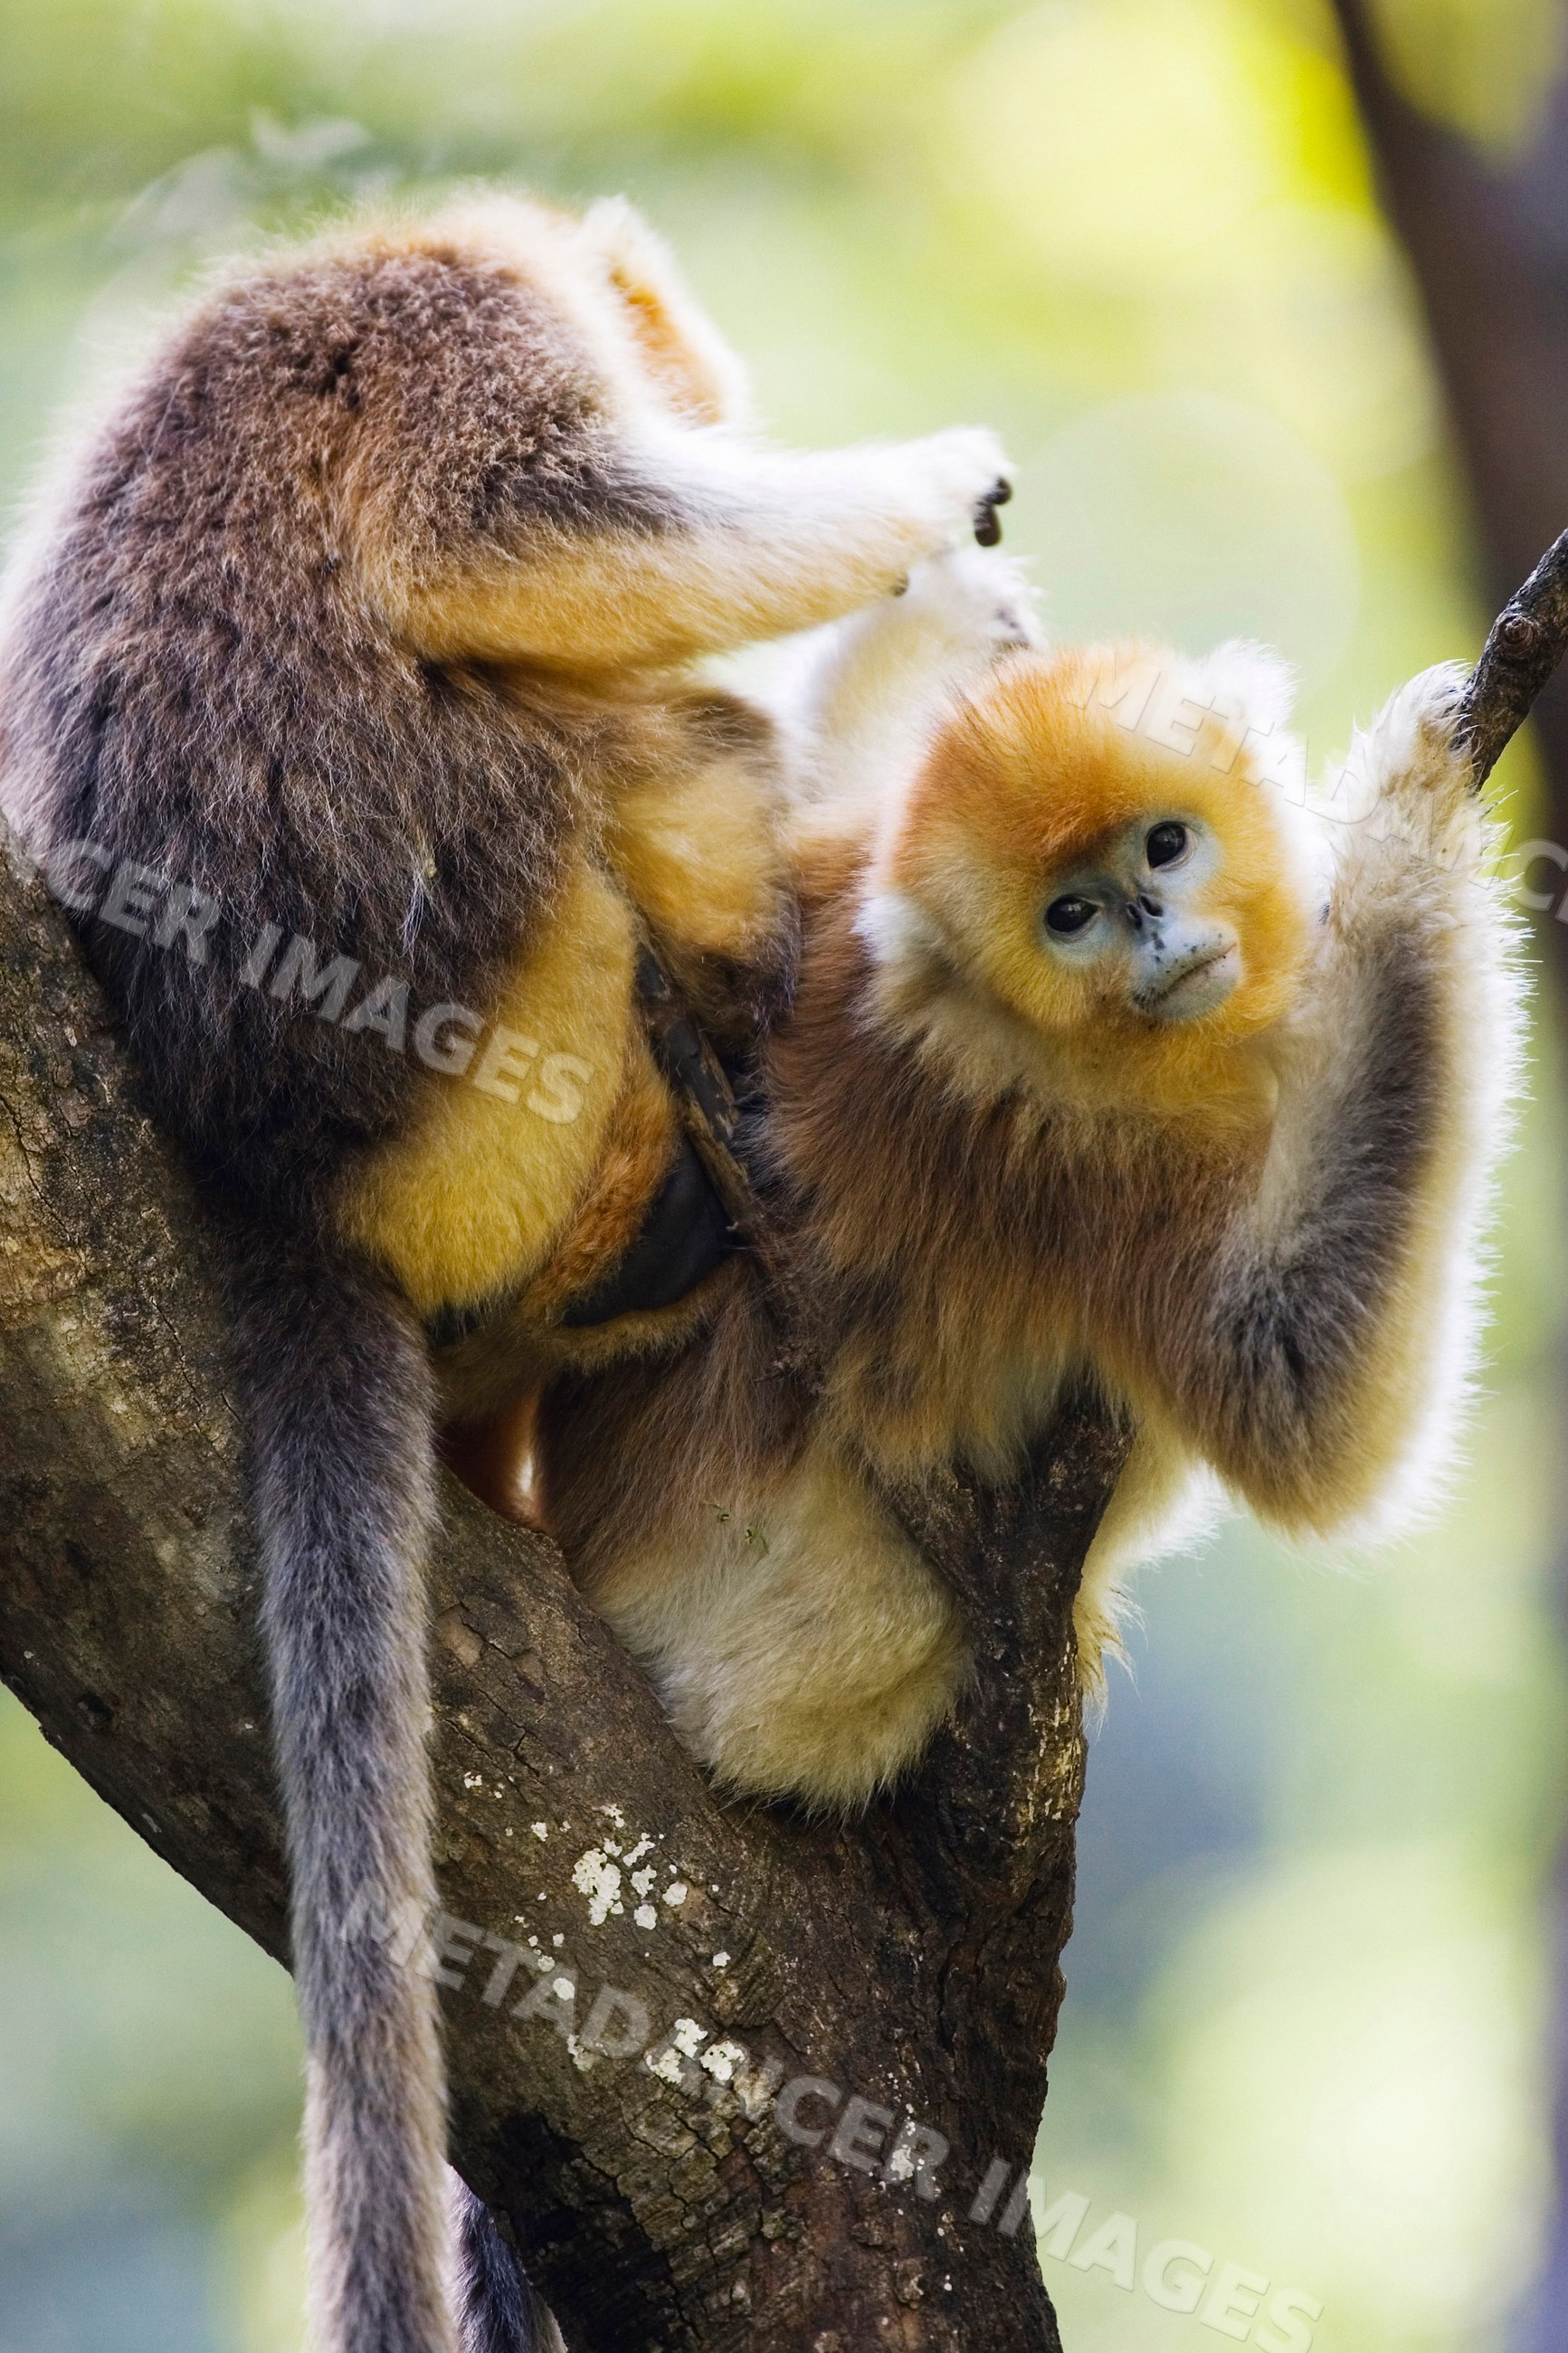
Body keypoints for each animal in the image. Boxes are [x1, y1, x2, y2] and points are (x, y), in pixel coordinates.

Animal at [0, 197, 1015, 2353]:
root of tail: (282, 1190)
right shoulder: (461, 333)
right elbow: (533, 534)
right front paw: (932, 511)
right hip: (498, 1035)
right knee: (619, 734)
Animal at [532, 550, 1524, 1813]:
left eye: (1164, 847)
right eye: (1071, 916)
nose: (1155, 932)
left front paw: (940, 597)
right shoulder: (1056, 1152)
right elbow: (1298, 1394)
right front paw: (1408, 796)